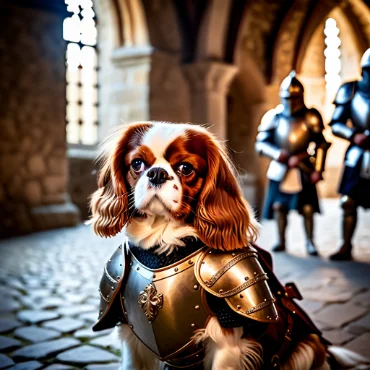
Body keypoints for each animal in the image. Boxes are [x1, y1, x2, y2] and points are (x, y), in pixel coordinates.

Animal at [89, 123, 368, 370]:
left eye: (185, 168)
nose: (156, 173)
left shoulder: (226, 342)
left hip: (306, 349)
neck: (163, 247)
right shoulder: (131, 340)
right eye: (137, 164)